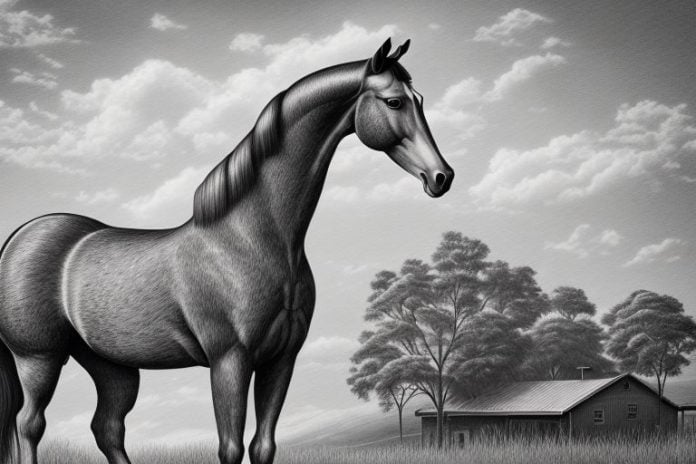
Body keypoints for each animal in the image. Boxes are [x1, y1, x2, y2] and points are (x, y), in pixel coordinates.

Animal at [0, 38, 453, 464]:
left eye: (419, 99)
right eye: (394, 101)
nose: (441, 177)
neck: (251, 240)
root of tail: (19, 239)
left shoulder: (280, 360)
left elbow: (263, 446)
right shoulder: (229, 361)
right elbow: (230, 447)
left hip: (112, 366)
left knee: (107, 428)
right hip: (38, 357)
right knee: (29, 424)